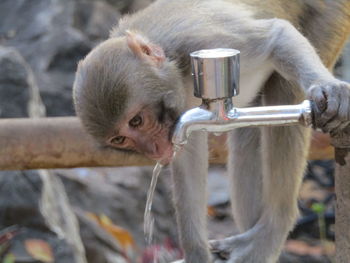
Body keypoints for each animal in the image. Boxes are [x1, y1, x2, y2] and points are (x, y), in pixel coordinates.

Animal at [72, 1, 350, 262]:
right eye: (120, 139)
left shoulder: (206, 41)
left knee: (285, 88)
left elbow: (278, 35)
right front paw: (196, 254)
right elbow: (189, 162)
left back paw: (273, 228)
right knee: (248, 136)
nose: (154, 150)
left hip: (331, 16)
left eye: (137, 121)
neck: (175, 63)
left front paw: (328, 87)